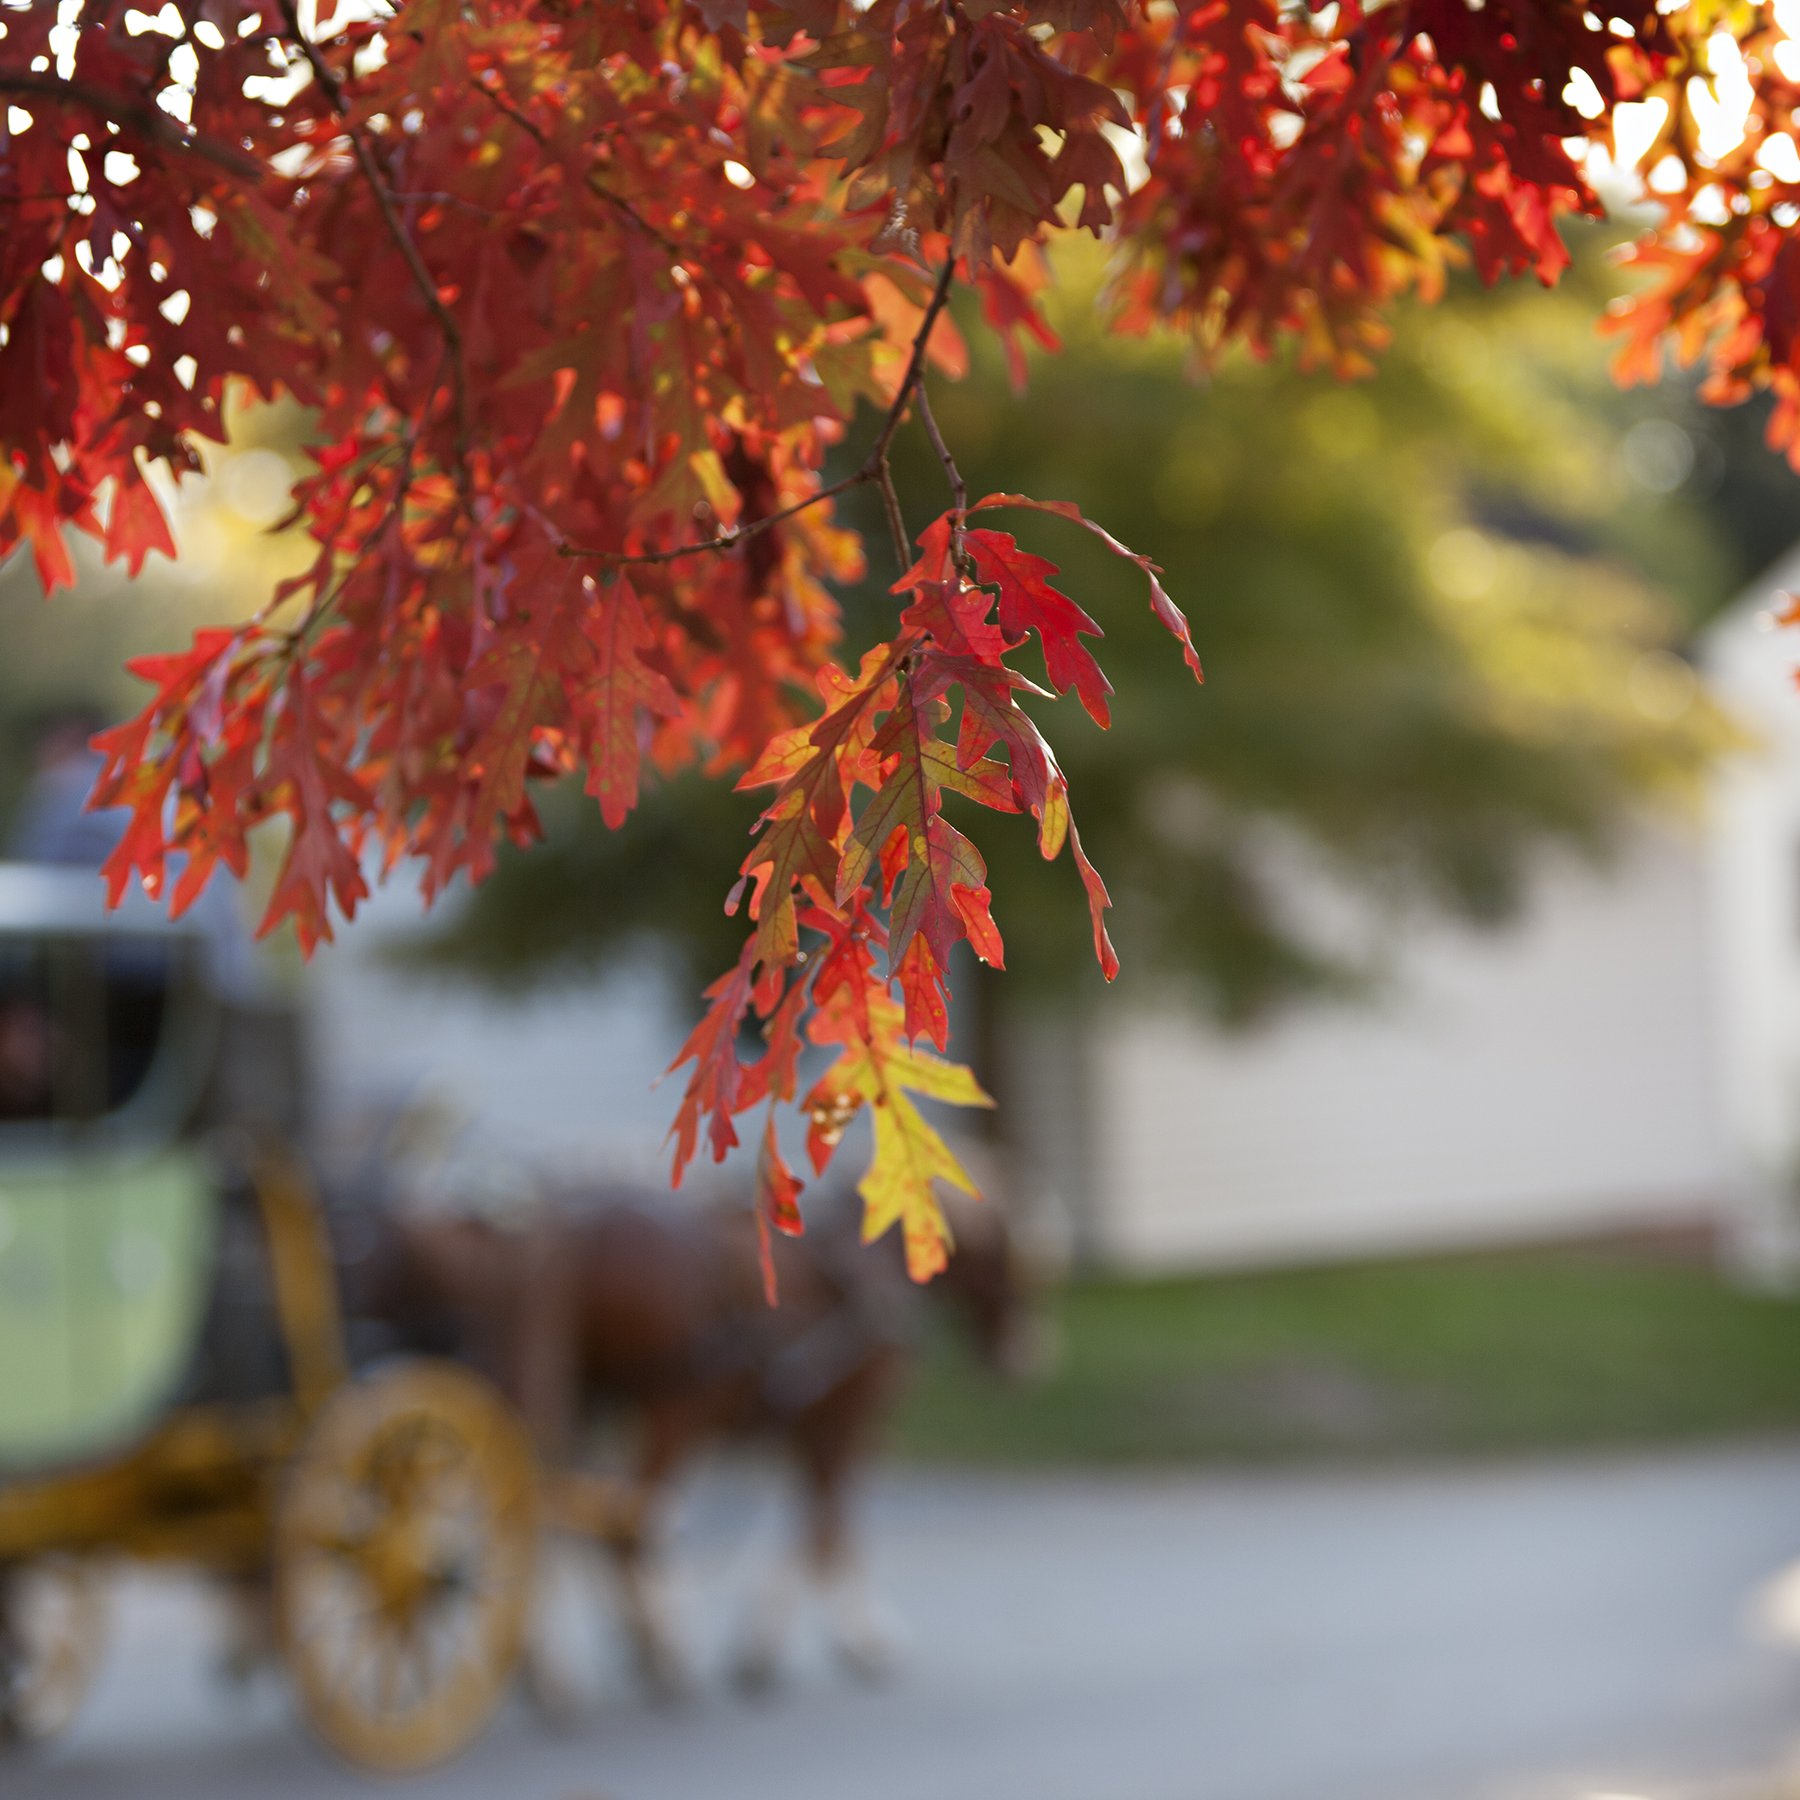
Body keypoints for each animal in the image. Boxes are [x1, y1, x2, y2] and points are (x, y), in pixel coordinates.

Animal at [361, 1173, 1044, 1692]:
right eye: (1014, 1259)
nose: (1026, 1357)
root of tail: (574, 1227)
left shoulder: (803, 1427)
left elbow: (807, 1526)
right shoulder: (842, 1425)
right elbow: (825, 1530)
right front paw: (848, 1637)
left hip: (574, 1400)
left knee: (556, 1510)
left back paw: (574, 1659)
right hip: (674, 1408)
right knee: (628, 1523)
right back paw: (657, 1651)